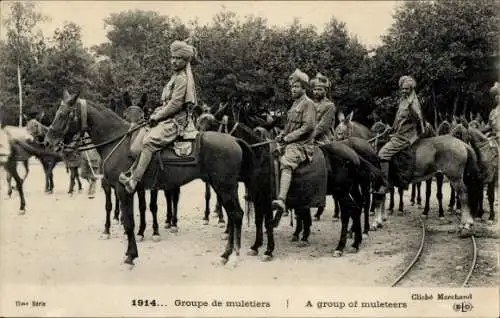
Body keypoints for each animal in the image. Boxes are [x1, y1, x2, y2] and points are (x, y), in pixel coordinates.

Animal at [45, 90, 258, 268]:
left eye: (63, 114)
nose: (48, 141)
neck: (117, 141)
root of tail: (234, 140)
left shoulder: (123, 190)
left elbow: (129, 221)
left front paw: (131, 255)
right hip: (222, 187)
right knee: (233, 215)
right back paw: (226, 254)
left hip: (225, 187)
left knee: (236, 215)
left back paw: (233, 256)